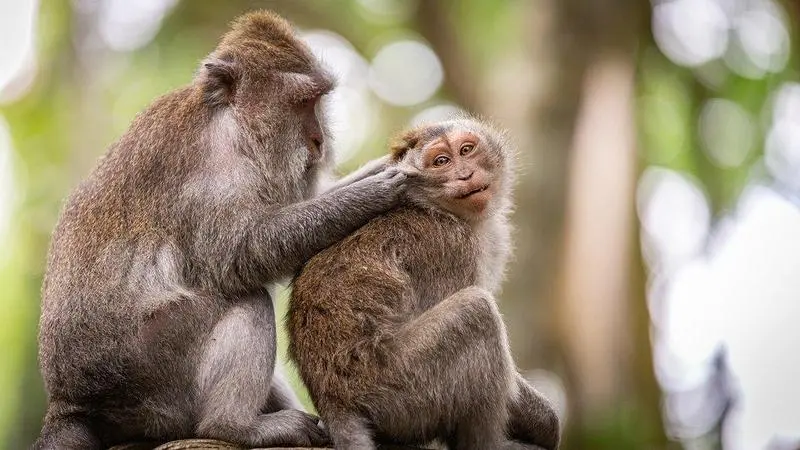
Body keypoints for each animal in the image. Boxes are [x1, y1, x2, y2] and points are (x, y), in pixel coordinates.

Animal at [34, 11, 412, 450]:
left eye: (318, 101)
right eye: (304, 101)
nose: (319, 140)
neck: (230, 120)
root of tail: (69, 402)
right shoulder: (216, 173)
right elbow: (242, 255)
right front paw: (372, 193)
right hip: (153, 371)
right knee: (248, 300)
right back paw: (233, 426)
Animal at [288, 117, 561, 450]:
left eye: (466, 150)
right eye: (441, 162)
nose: (465, 174)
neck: (438, 208)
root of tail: (334, 402)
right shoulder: (453, 249)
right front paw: (545, 421)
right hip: (399, 388)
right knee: (477, 311)